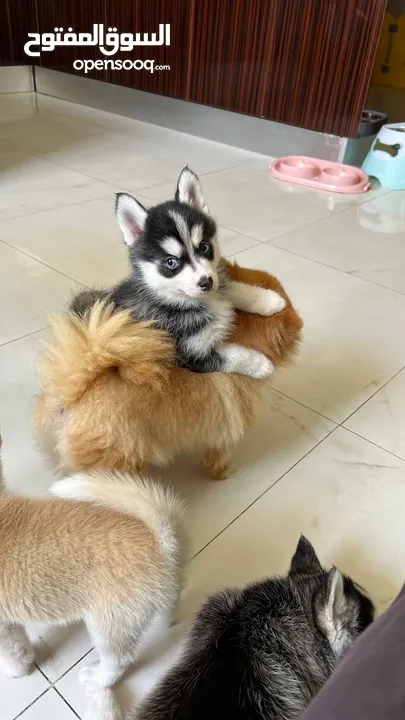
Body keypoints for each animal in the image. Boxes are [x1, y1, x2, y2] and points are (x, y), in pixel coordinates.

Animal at [0, 436, 181, 688]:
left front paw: (15, 671)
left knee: (117, 662)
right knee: (167, 614)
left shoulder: (2, 627)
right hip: (155, 601)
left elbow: (11, 652)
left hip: (107, 625)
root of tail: (159, 540)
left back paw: (95, 679)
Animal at [112, 165, 286, 376]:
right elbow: (232, 356)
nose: (206, 283)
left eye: (204, 247)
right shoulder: (188, 356)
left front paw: (268, 300)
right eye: (171, 262)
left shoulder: (218, 285)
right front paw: (260, 364)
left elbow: (234, 288)